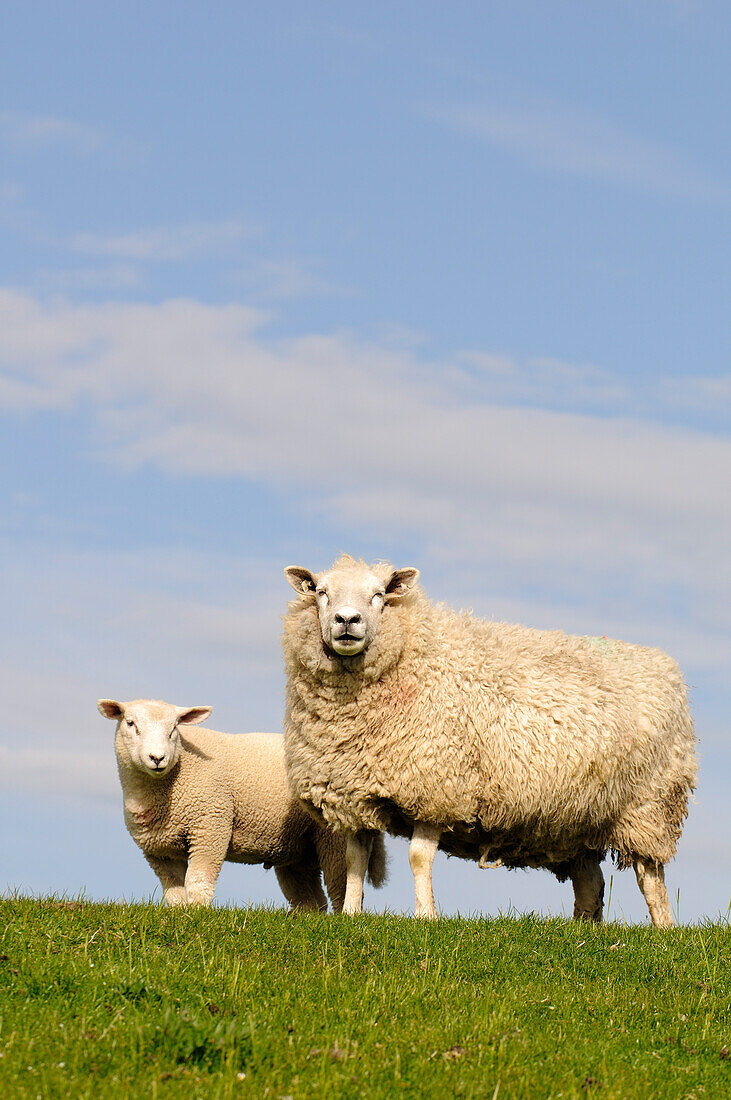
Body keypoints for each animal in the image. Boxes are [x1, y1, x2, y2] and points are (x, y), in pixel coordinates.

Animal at [98, 695, 386, 910]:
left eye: (174, 729)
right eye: (130, 723)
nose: (157, 758)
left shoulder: (211, 826)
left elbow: (198, 880)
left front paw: (197, 913)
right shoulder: (159, 851)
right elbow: (174, 892)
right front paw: (181, 914)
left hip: (332, 837)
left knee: (341, 886)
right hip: (298, 848)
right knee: (310, 899)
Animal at [280, 554, 694, 924]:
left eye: (379, 594)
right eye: (321, 591)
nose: (347, 621)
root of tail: (667, 666)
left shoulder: (437, 790)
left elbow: (418, 857)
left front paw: (426, 916)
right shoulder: (353, 794)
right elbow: (355, 860)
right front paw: (351, 914)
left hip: (650, 805)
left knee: (650, 877)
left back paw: (663, 930)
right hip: (578, 816)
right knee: (590, 881)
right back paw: (583, 930)